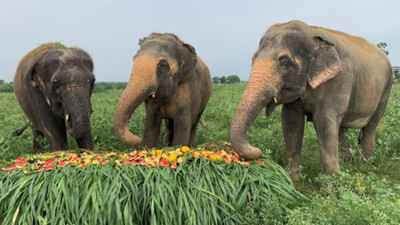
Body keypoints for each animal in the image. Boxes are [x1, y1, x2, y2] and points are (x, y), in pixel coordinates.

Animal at [230, 21, 392, 179]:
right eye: (252, 59)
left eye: (284, 61)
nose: (258, 150)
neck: (312, 32)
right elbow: (291, 121)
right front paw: (293, 176)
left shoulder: (339, 79)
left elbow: (324, 120)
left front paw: (330, 182)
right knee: (341, 127)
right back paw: (348, 157)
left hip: (386, 88)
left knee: (370, 125)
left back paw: (364, 161)